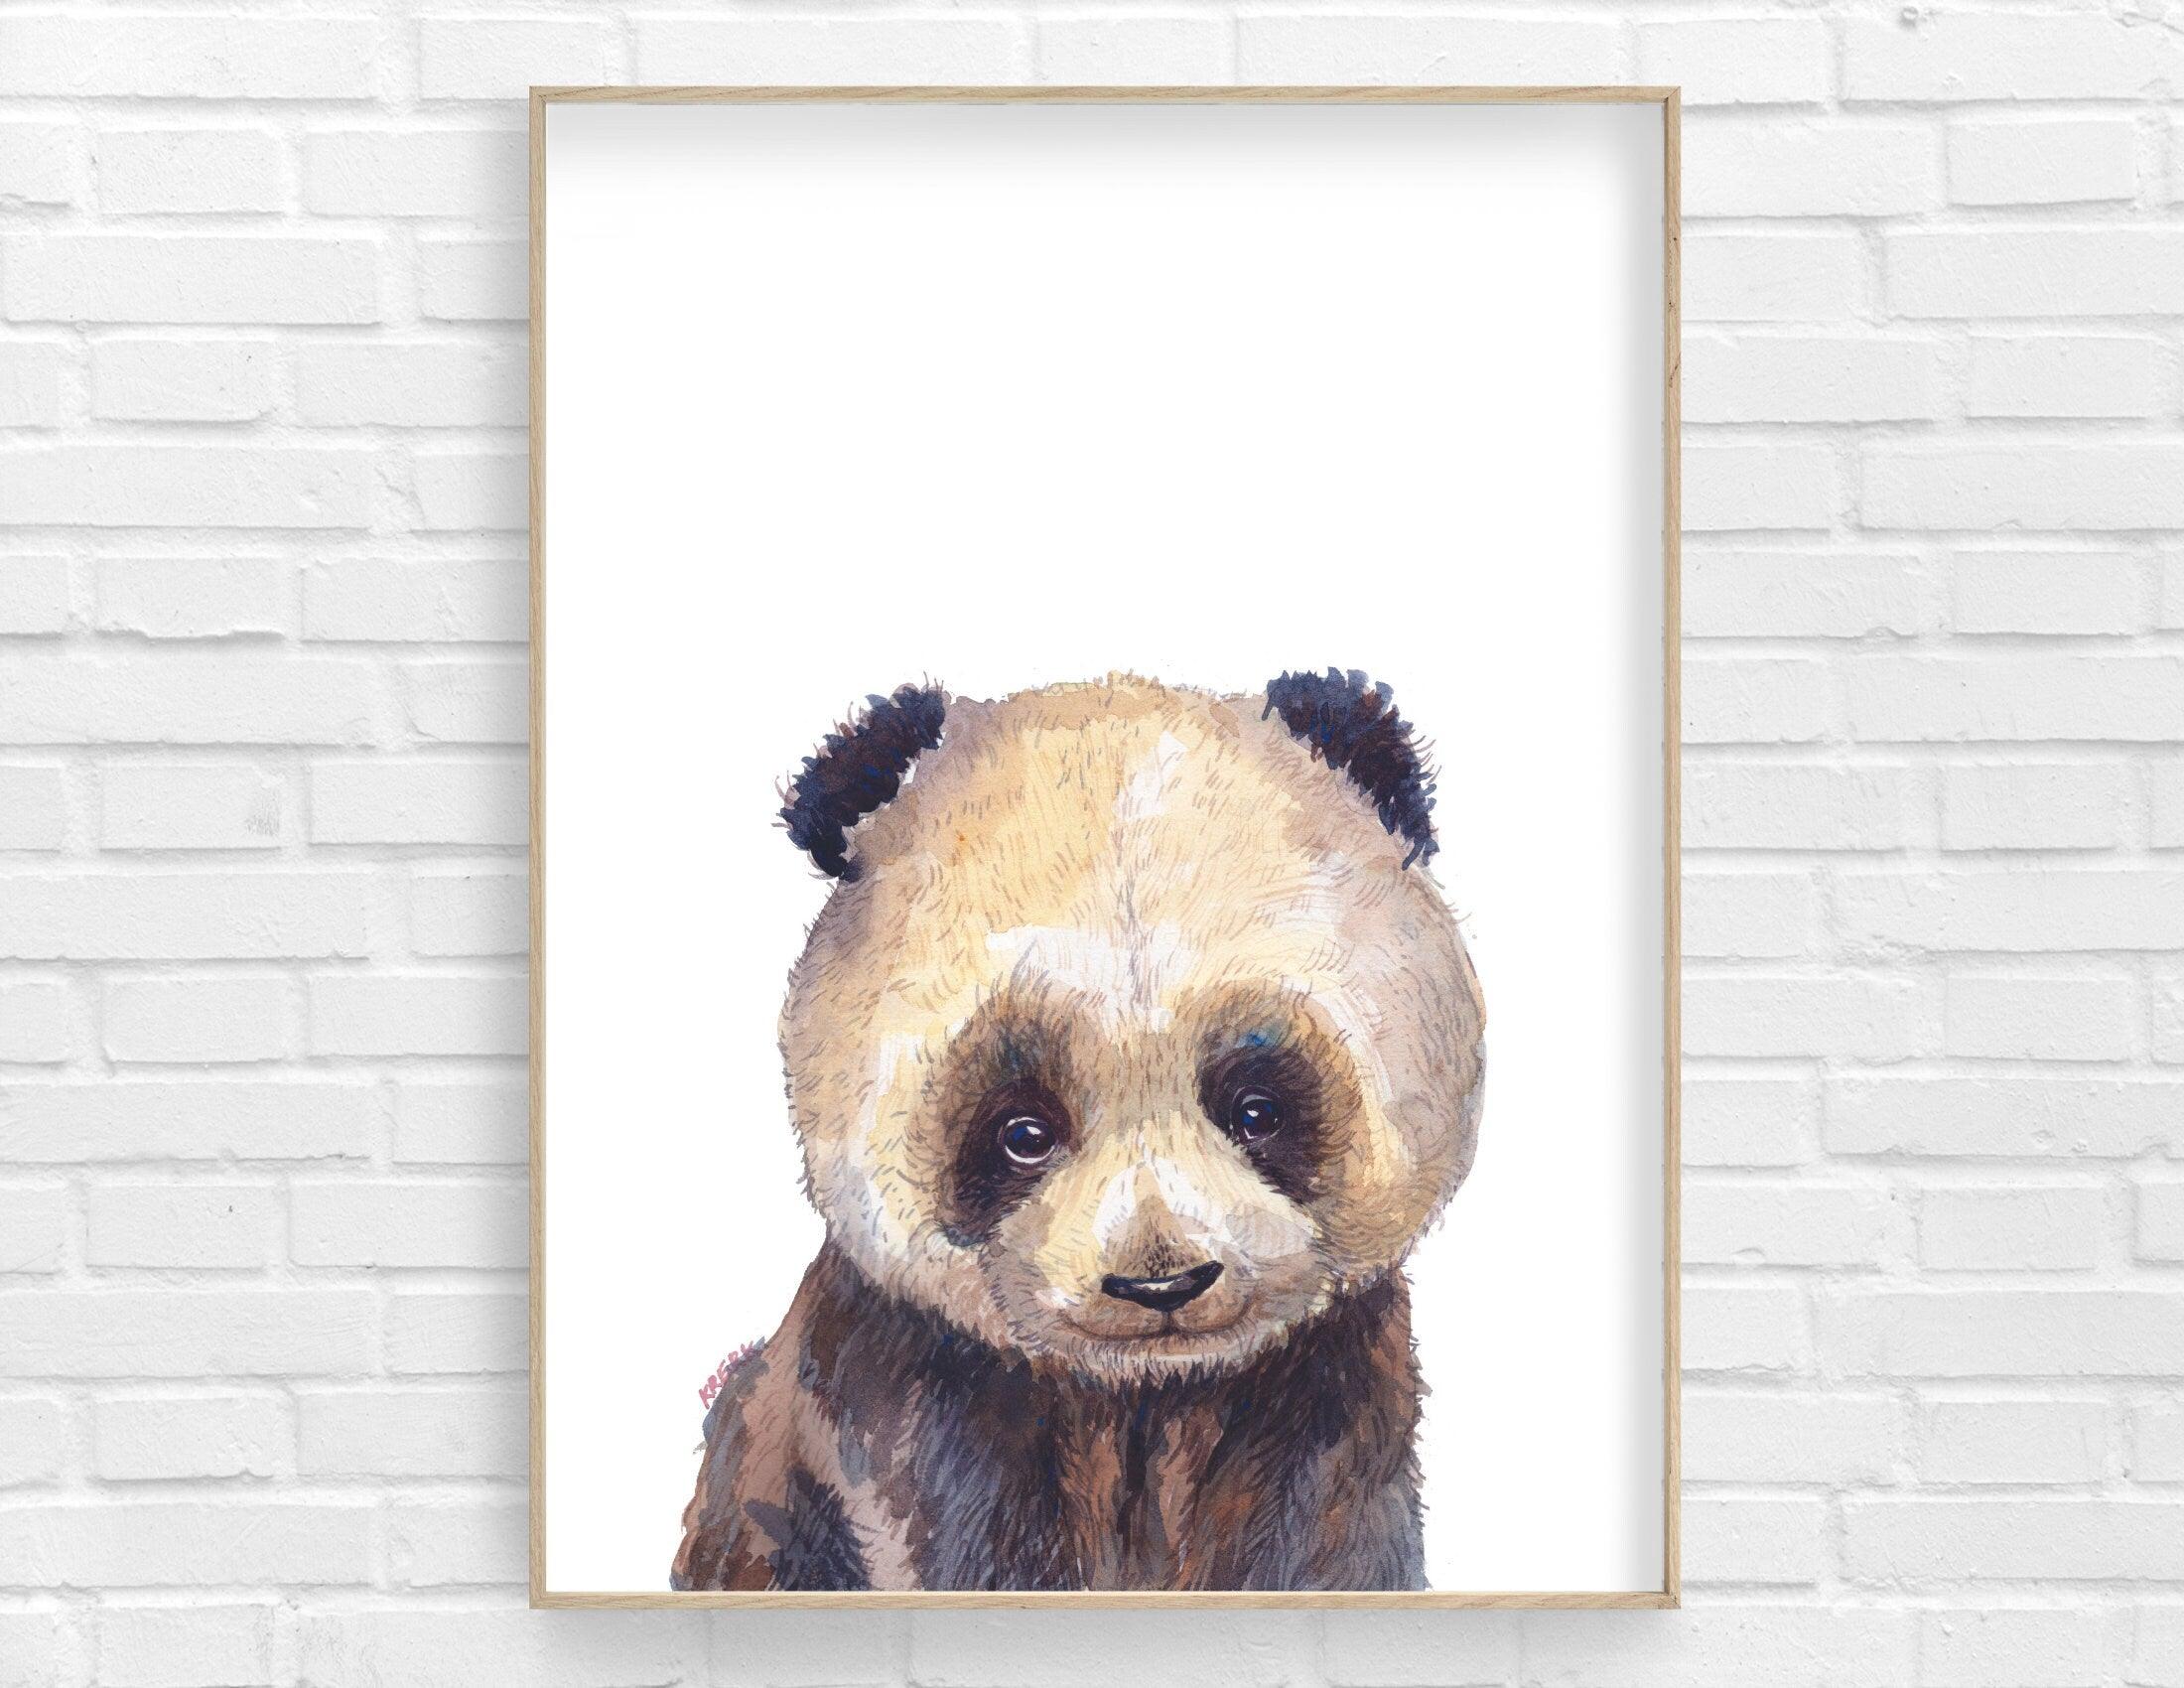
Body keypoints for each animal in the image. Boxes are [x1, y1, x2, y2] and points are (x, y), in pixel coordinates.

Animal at [672, 671, 1485, 1592]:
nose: (1162, 1284)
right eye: (1023, 1131)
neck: (1146, 1399)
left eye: (1256, 1110)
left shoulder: (1325, 1395)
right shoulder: (914, 1402)